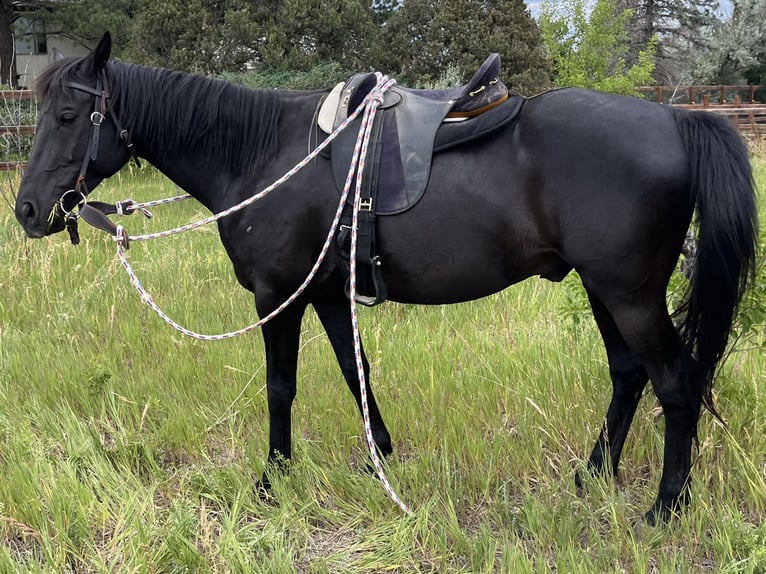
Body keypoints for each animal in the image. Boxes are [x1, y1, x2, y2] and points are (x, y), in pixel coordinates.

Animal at [15, 32, 760, 528]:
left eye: (67, 116)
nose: (26, 211)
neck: (260, 152)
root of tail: (675, 117)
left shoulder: (278, 296)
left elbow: (280, 387)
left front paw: (273, 480)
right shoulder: (324, 294)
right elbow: (356, 371)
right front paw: (382, 453)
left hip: (630, 295)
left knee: (675, 383)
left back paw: (665, 507)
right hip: (604, 288)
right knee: (629, 375)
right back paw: (593, 474)